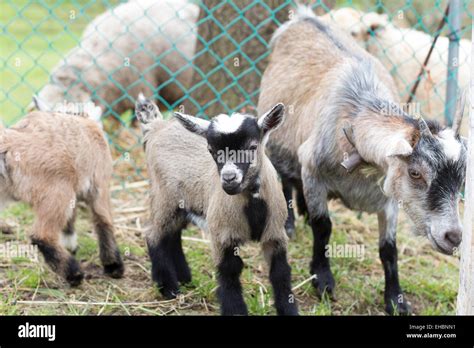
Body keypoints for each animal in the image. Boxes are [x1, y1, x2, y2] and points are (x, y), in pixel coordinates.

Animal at [0, 110, 124, 284]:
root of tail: (9, 144)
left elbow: (71, 221)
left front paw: (70, 245)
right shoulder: (99, 186)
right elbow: (103, 222)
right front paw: (113, 266)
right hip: (58, 192)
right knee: (41, 235)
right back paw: (74, 274)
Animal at [137, 94, 298, 316]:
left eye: (252, 147)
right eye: (212, 151)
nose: (229, 179)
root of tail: (157, 126)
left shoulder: (275, 233)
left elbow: (280, 271)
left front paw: (288, 309)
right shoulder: (223, 234)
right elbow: (229, 271)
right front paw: (235, 310)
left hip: (182, 204)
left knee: (172, 235)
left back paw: (184, 278)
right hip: (164, 198)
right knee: (154, 235)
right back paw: (168, 288)